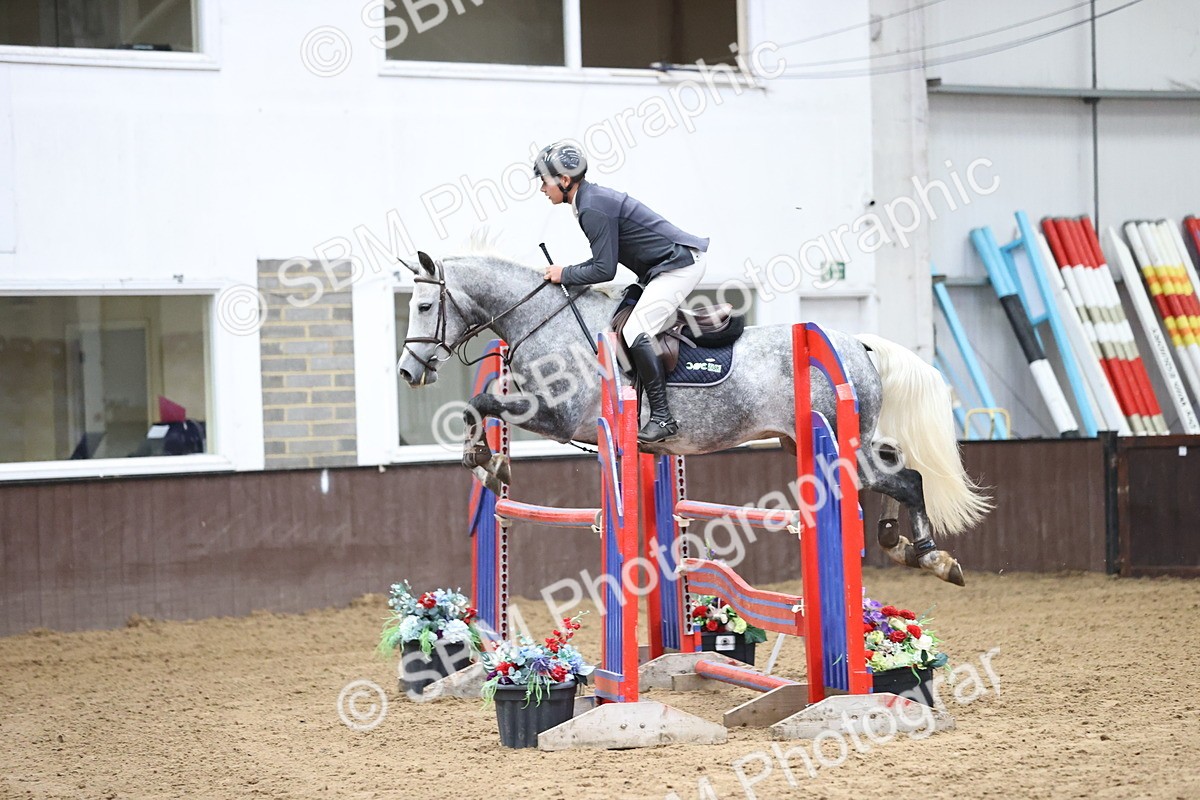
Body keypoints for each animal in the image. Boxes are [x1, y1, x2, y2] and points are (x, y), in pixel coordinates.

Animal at [396, 248, 990, 585]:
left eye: (423, 306)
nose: (408, 371)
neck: (546, 320)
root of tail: (855, 343)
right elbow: (482, 405)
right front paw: (488, 463)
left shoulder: (559, 418)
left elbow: (483, 404)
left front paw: (488, 462)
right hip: (810, 442)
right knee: (894, 462)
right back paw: (895, 540)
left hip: (839, 447)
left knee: (908, 477)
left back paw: (933, 558)